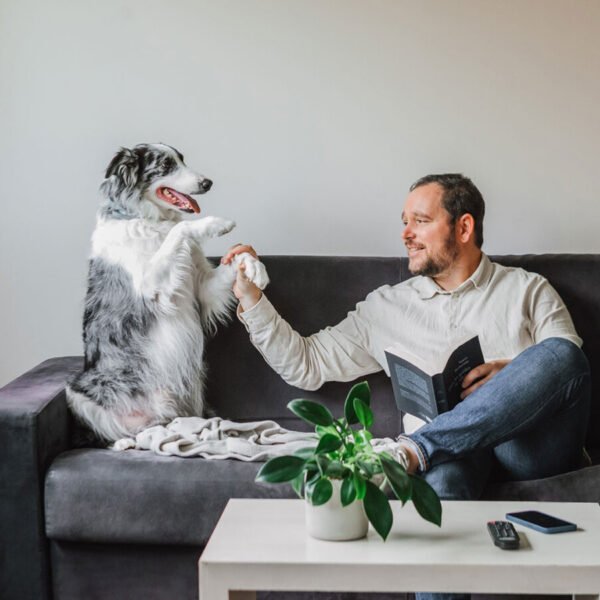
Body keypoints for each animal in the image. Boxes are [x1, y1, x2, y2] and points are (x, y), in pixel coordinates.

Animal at [66, 143, 270, 442]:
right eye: (165, 166)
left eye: (182, 160)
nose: (207, 183)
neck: (148, 218)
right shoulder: (149, 286)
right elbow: (180, 227)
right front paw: (215, 224)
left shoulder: (203, 288)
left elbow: (237, 257)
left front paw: (255, 268)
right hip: (78, 392)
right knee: (126, 433)